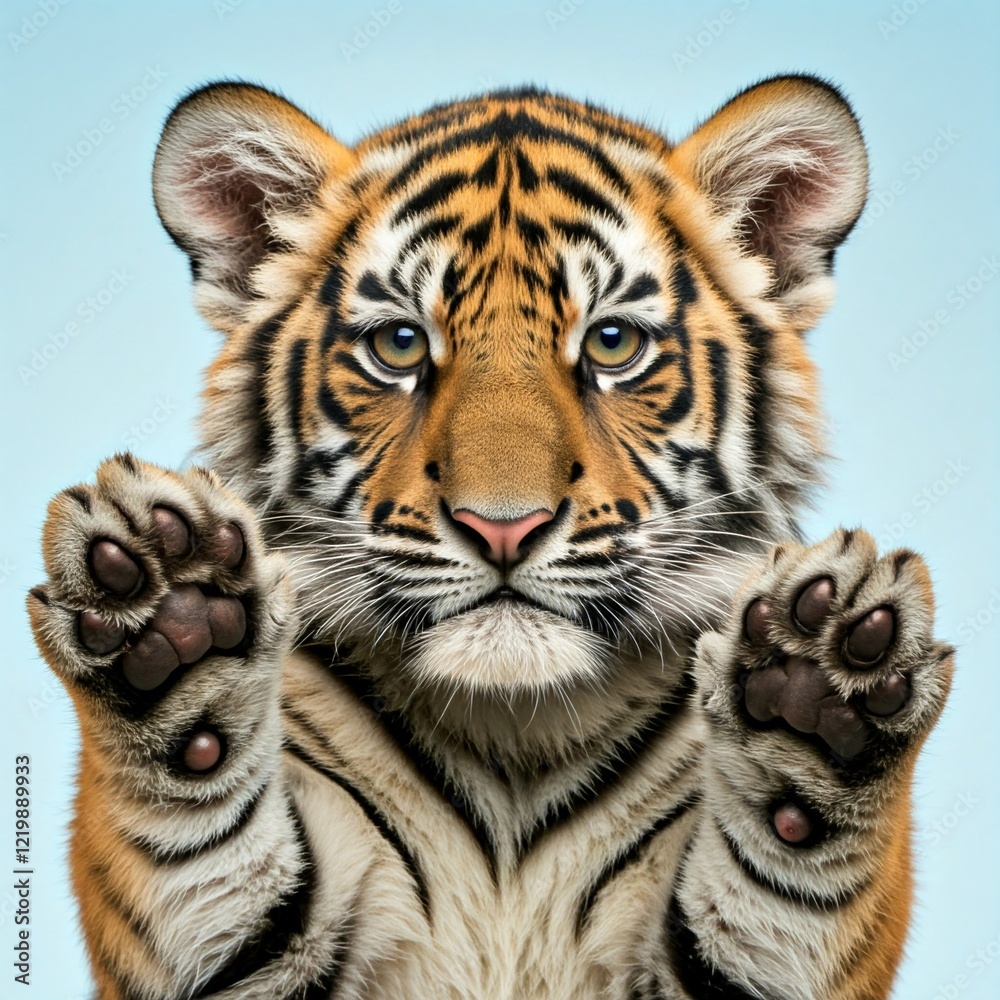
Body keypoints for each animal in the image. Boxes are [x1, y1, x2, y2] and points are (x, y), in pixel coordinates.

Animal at [27, 75, 954, 1000]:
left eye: (612, 342)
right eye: (400, 344)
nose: (502, 526)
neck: (515, 734)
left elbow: (782, 875)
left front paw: (817, 685)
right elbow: (200, 838)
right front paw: (173, 613)